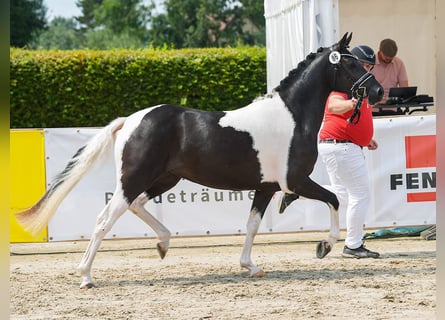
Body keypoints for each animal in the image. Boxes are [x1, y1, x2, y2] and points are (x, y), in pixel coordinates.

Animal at [15, 33, 384, 288]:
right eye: (351, 63)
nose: (379, 92)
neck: (292, 117)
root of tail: (131, 120)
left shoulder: (266, 187)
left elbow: (252, 225)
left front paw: (250, 266)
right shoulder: (294, 181)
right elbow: (334, 199)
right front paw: (324, 245)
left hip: (164, 179)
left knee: (137, 206)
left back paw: (163, 244)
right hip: (134, 178)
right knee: (105, 219)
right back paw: (86, 276)